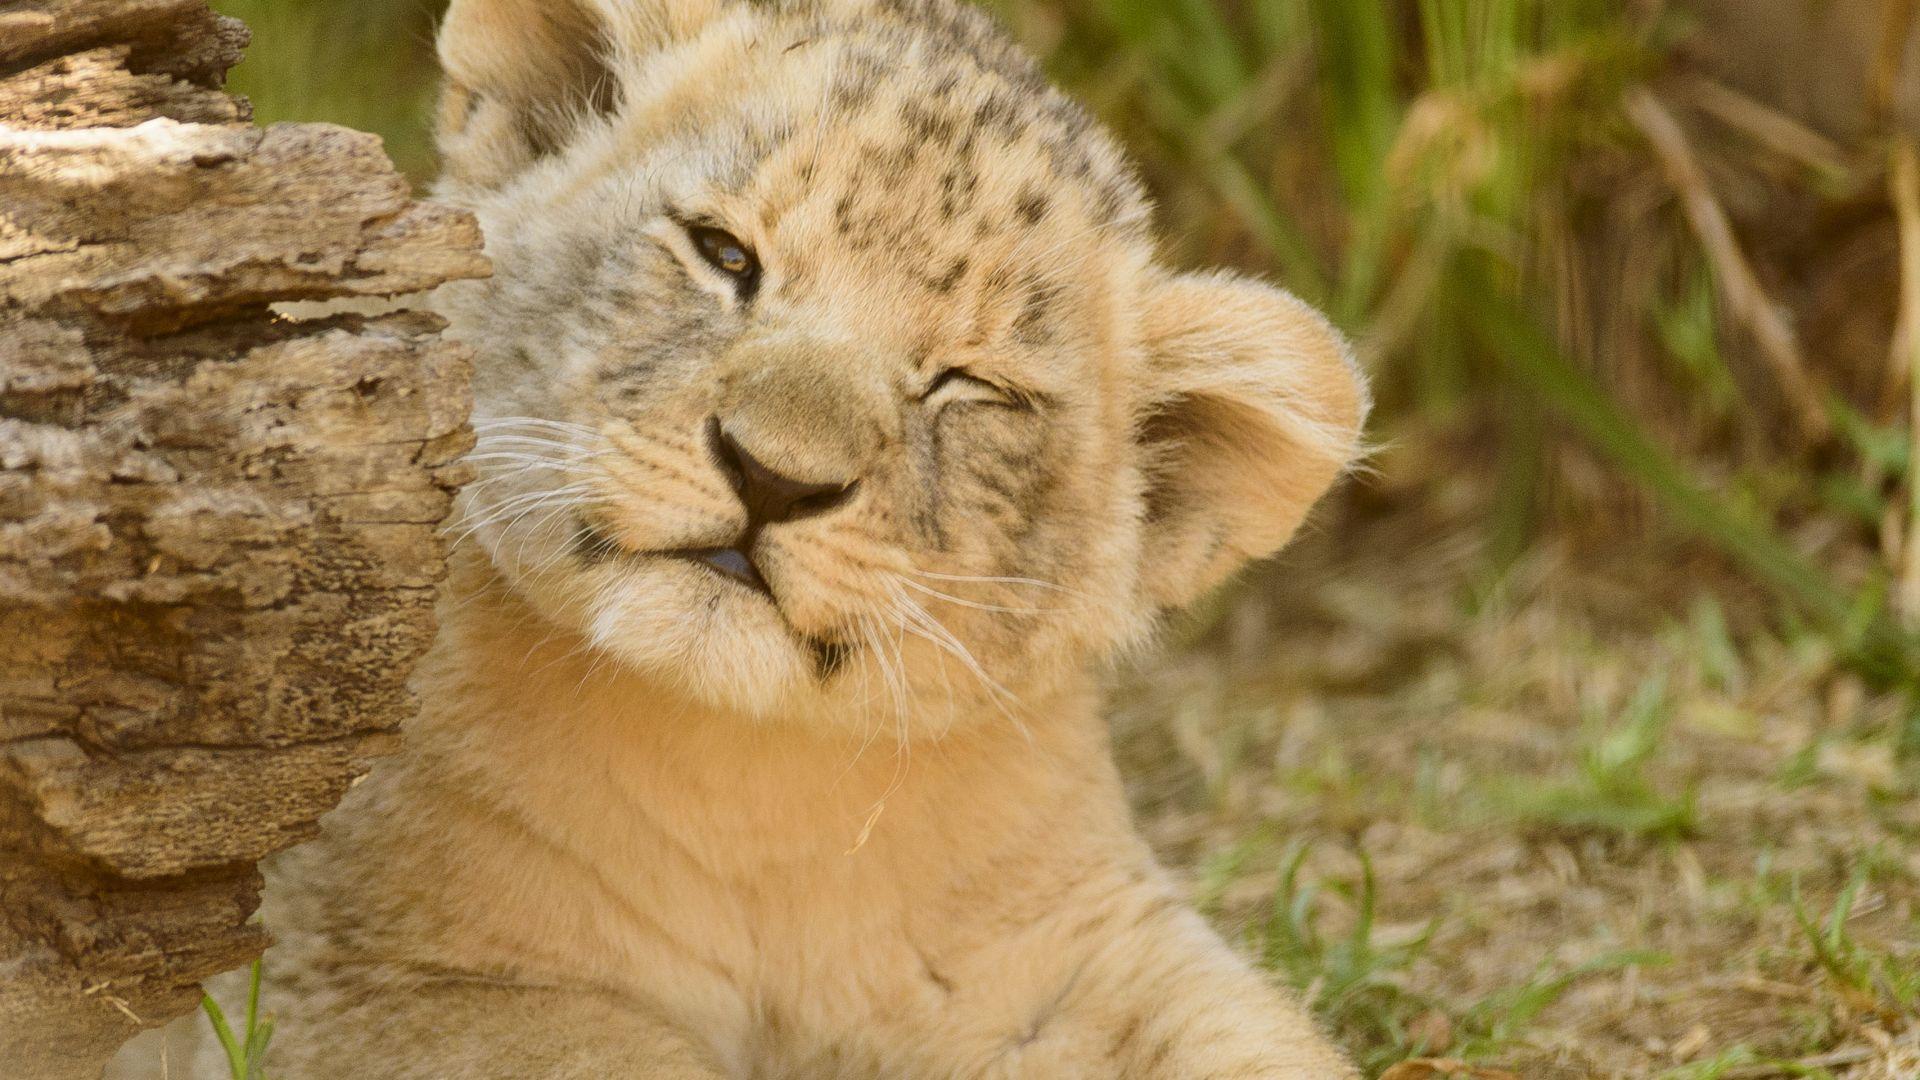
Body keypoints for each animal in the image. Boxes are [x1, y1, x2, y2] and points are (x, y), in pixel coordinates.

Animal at [124, 0, 1369, 1075]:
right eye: (725, 255)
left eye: (971, 387)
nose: (774, 476)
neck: (752, 802)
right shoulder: (359, 977)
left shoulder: (1079, 948)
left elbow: (1264, 1042)